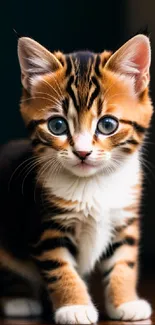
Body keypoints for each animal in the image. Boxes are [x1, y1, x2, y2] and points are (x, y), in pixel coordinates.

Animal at [0, 33, 153, 322]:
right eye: (57, 125)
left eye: (108, 124)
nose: (83, 152)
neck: (93, 184)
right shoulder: (46, 224)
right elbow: (60, 268)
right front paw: (75, 307)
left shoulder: (124, 219)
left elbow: (124, 262)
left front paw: (125, 301)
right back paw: (17, 299)